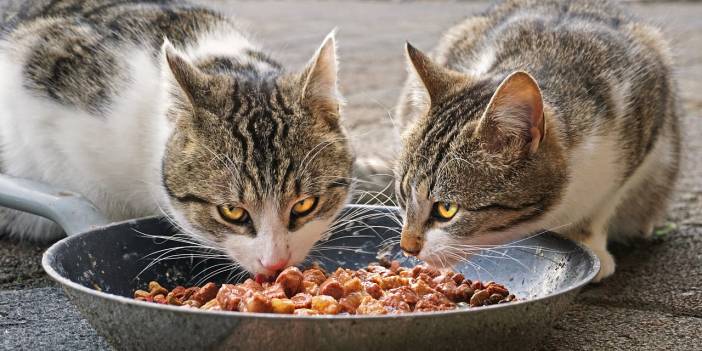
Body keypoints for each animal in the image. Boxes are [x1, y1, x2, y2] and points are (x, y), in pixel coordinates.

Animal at [394, 0, 680, 282]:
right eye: (403, 194)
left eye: (447, 209)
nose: (407, 247)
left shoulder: (643, 121)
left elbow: (601, 205)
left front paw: (590, 242)